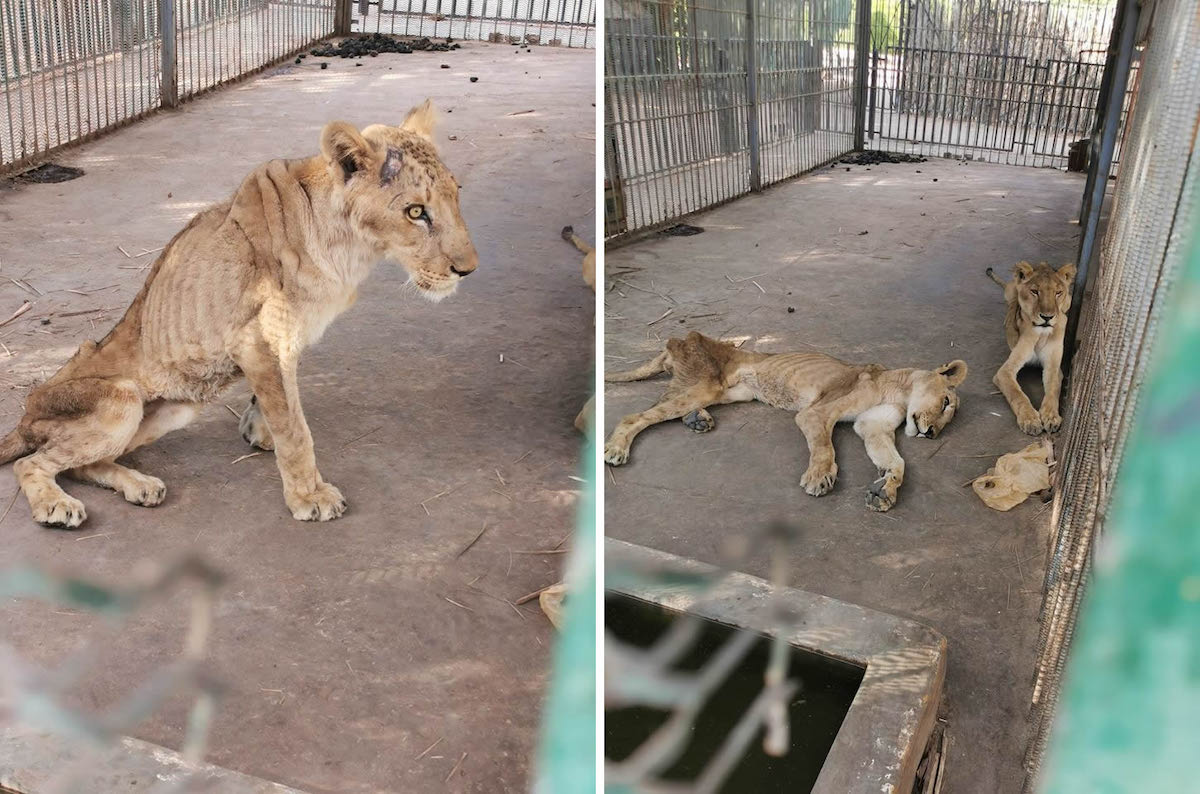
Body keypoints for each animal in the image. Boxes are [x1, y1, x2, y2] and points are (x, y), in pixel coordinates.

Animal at [0, 102, 477, 532]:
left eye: (456, 196)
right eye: (415, 212)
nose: (468, 269)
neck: (350, 249)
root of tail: (24, 415)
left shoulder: (282, 341)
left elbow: (278, 404)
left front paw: (257, 430)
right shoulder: (261, 340)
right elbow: (295, 428)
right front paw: (309, 496)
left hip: (178, 408)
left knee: (85, 464)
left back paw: (141, 486)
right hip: (121, 400)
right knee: (33, 463)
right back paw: (57, 505)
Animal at [604, 333, 969, 513]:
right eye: (946, 403)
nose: (931, 433)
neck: (899, 391)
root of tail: (679, 340)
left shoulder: (871, 427)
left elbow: (897, 462)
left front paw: (885, 490)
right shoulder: (815, 413)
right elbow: (824, 447)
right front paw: (819, 478)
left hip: (728, 393)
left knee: (668, 404)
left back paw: (698, 419)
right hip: (704, 384)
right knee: (636, 415)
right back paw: (616, 450)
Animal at [984, 261, 1080, 436]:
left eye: (1058, 293)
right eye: (1035, 291)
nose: (1047, 317)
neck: (1041, 334)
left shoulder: (1053, 367)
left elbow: (1052, 390)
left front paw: (1051, 416)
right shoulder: (1004, 372)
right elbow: (1017, 393)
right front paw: (1030, 420)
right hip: (1012, 290)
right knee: (1011, 302)